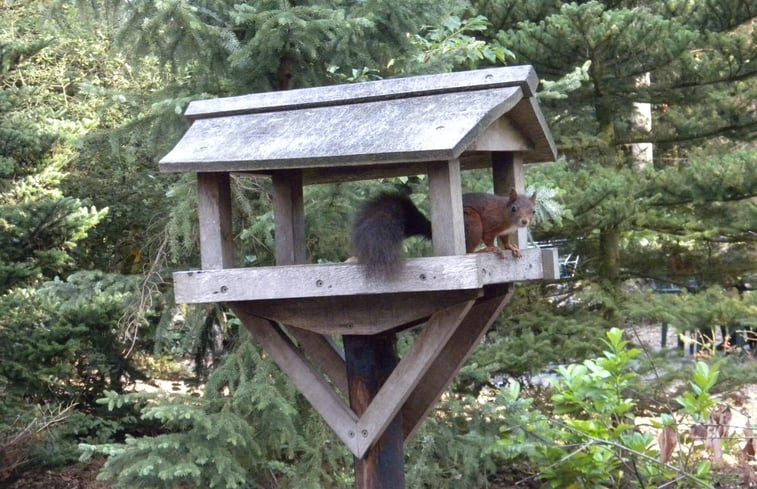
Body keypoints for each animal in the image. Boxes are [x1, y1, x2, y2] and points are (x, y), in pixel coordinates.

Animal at [352, 188, 536, 276]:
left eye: (533, 211)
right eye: (514, 208)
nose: (524, 222)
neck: (505, 214)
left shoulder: (505, 232)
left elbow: (505, 240)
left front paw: (512, 248)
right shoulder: (491, 223)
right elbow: (489, 238)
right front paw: (494, 248)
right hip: (472, 222)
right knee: (469, 250)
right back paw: (482, 250)